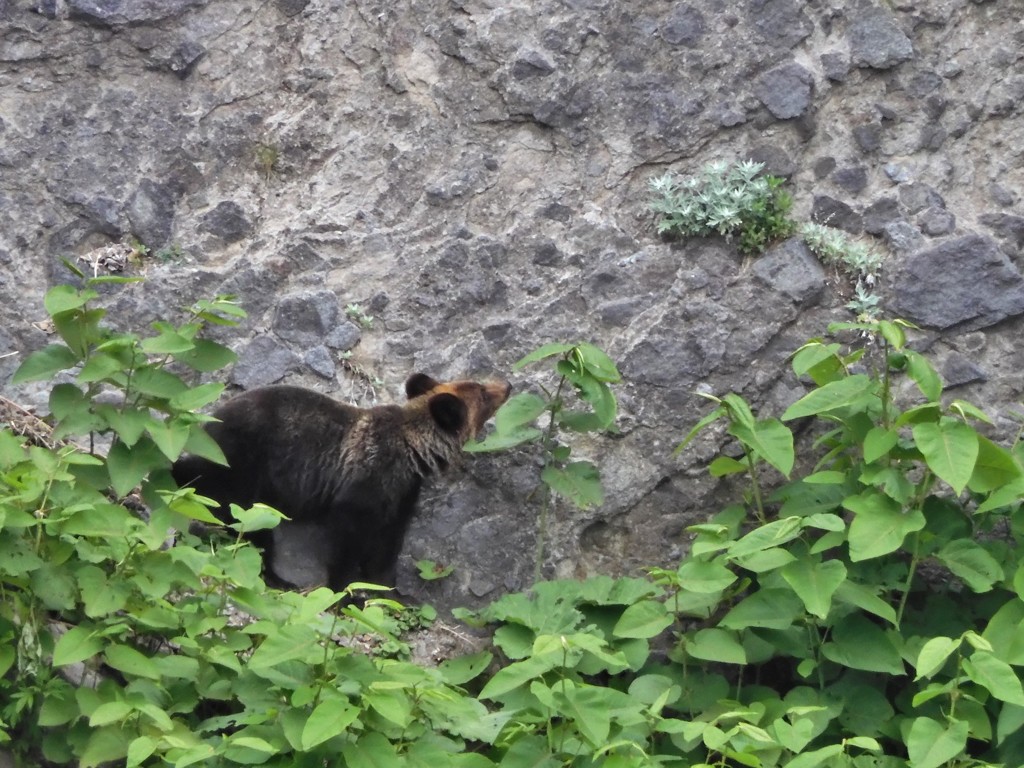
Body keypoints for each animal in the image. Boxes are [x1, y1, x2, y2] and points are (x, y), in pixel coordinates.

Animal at [176, 376, 516, 593]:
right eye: (482, 393)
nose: (507, 384)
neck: (413, 453)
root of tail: (210, 422)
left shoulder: (401, 495)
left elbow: (388, 545)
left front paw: (387, 589)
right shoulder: (365, 481)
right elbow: (348, 538)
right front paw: (347, 590)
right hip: (244, 461)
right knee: (240, 515)